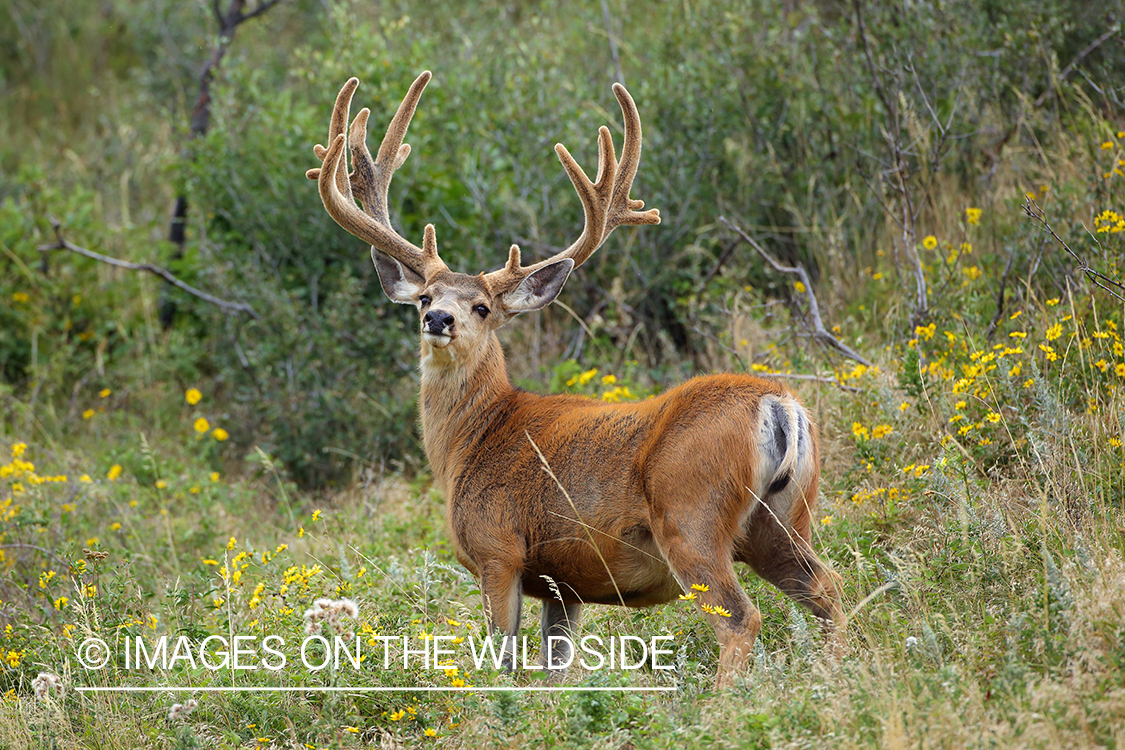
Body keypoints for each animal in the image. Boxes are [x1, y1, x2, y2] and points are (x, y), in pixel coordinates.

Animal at [306, 71, 844, 687]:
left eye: (483, 307)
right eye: (424, 295)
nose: (438, 319)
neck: (470, 441)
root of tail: (780, 406)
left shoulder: (498, 548)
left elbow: (503, 659)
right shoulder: (563, 583)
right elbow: (556, 669)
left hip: (692, 515)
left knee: (741, 617)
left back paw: (723, 699)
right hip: (785, 520)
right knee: (827, 588)